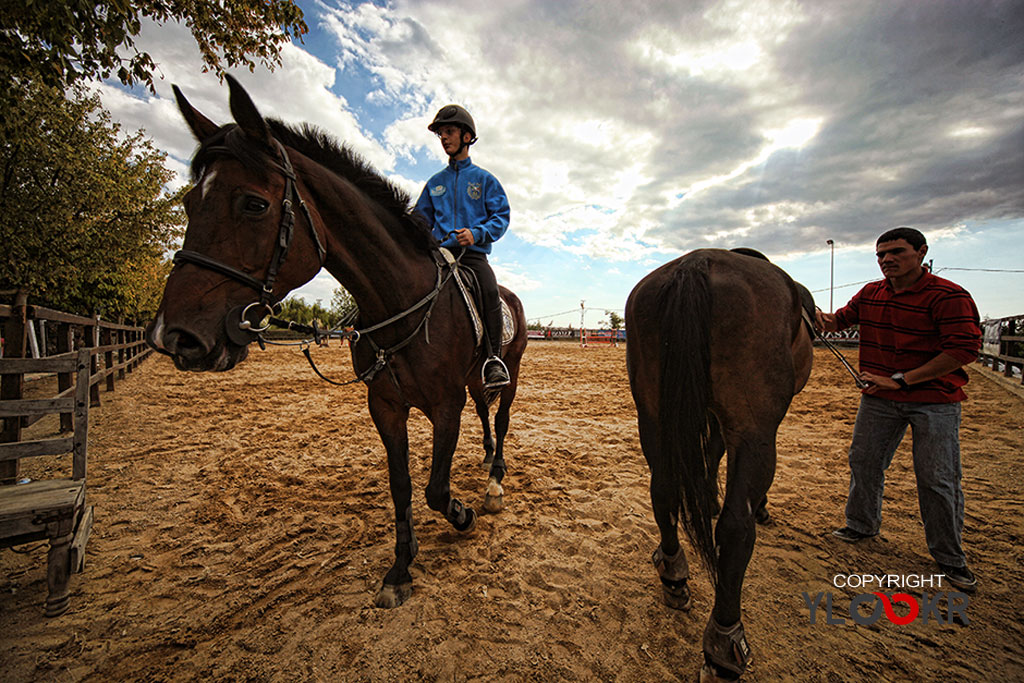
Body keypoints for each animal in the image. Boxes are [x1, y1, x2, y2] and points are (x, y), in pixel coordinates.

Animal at [149, 74, 528, 610]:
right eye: (187, 203)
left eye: (254, 203)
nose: (175, 335)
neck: (399, 304)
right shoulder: (386, 406)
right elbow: (402, 486)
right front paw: (400, 569)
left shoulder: (445, 406)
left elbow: (435, 489)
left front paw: (463, 515)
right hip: (475, 383)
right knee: (486, 417)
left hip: (506, 378)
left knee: (502, 418)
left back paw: (494, 484)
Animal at [626, 248, 811, 679]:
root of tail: (698, 262)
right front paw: (754, 506)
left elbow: (708, 454)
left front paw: (707, 496)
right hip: (754, 429)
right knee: (735, 528)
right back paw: (725, 642)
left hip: (653, 414)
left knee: (663, 490)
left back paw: (674, 574)